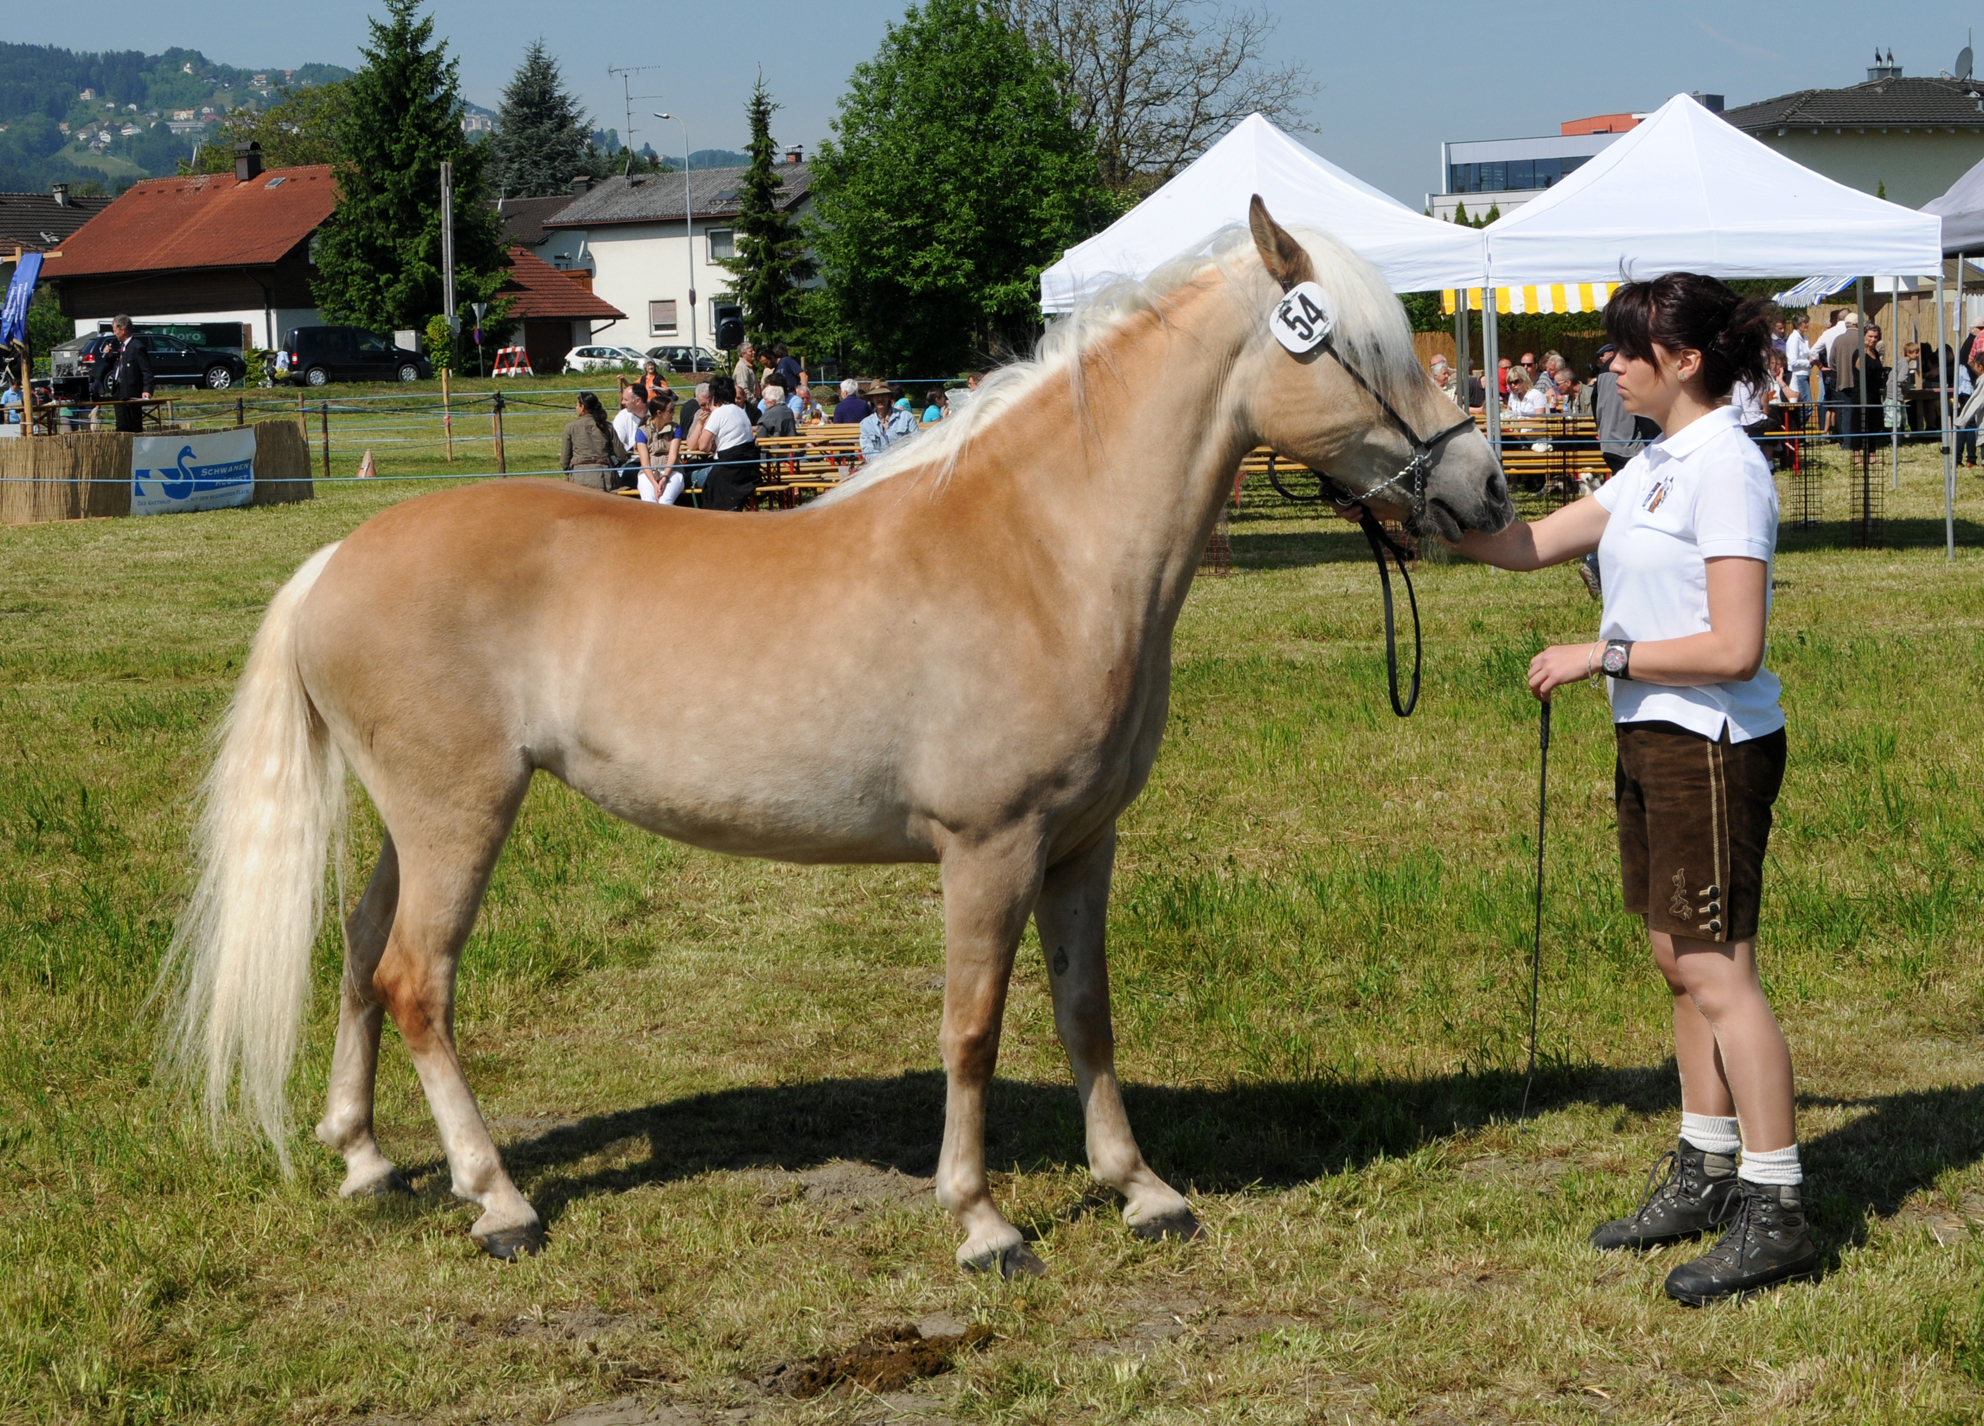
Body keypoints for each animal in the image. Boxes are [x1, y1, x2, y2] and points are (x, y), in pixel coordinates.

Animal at [160, 199, 1513, 1274]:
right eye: (1369, 352)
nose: (1485, 492)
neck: (1044, 550)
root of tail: (338, 557)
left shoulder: (1082, 847)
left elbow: (1085, 1014)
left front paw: (1141, 1191)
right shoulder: (989, 848)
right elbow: (972, 1026)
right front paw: (983, 1223)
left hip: (417, 818)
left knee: (358, 955)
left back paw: (367, 1163)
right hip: (460, 814)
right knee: (417, 981)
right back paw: (498, 1201)